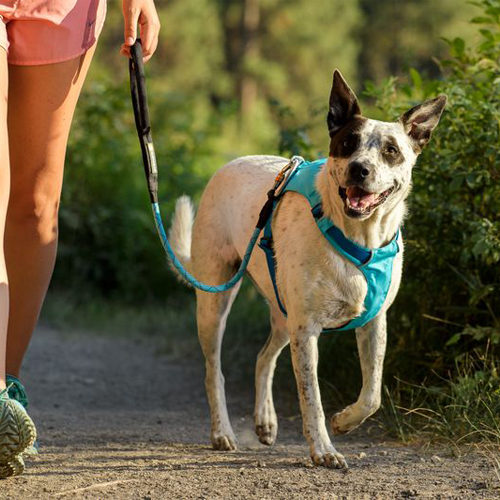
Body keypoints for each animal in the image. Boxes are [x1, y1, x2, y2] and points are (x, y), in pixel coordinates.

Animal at [168, 70, 446, 468]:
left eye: (391, 150)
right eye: (347, 143)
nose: (359, 169)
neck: (358, 239)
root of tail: (231, 163)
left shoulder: (375, 322)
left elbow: (373, 393)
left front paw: (345, 421)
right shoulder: (307, 331)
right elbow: (311, 398)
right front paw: (324, 450)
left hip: (284, 313)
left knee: (263, 357)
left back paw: (266, 421)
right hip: (215, 301)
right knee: (213, 371)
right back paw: (222, 432)